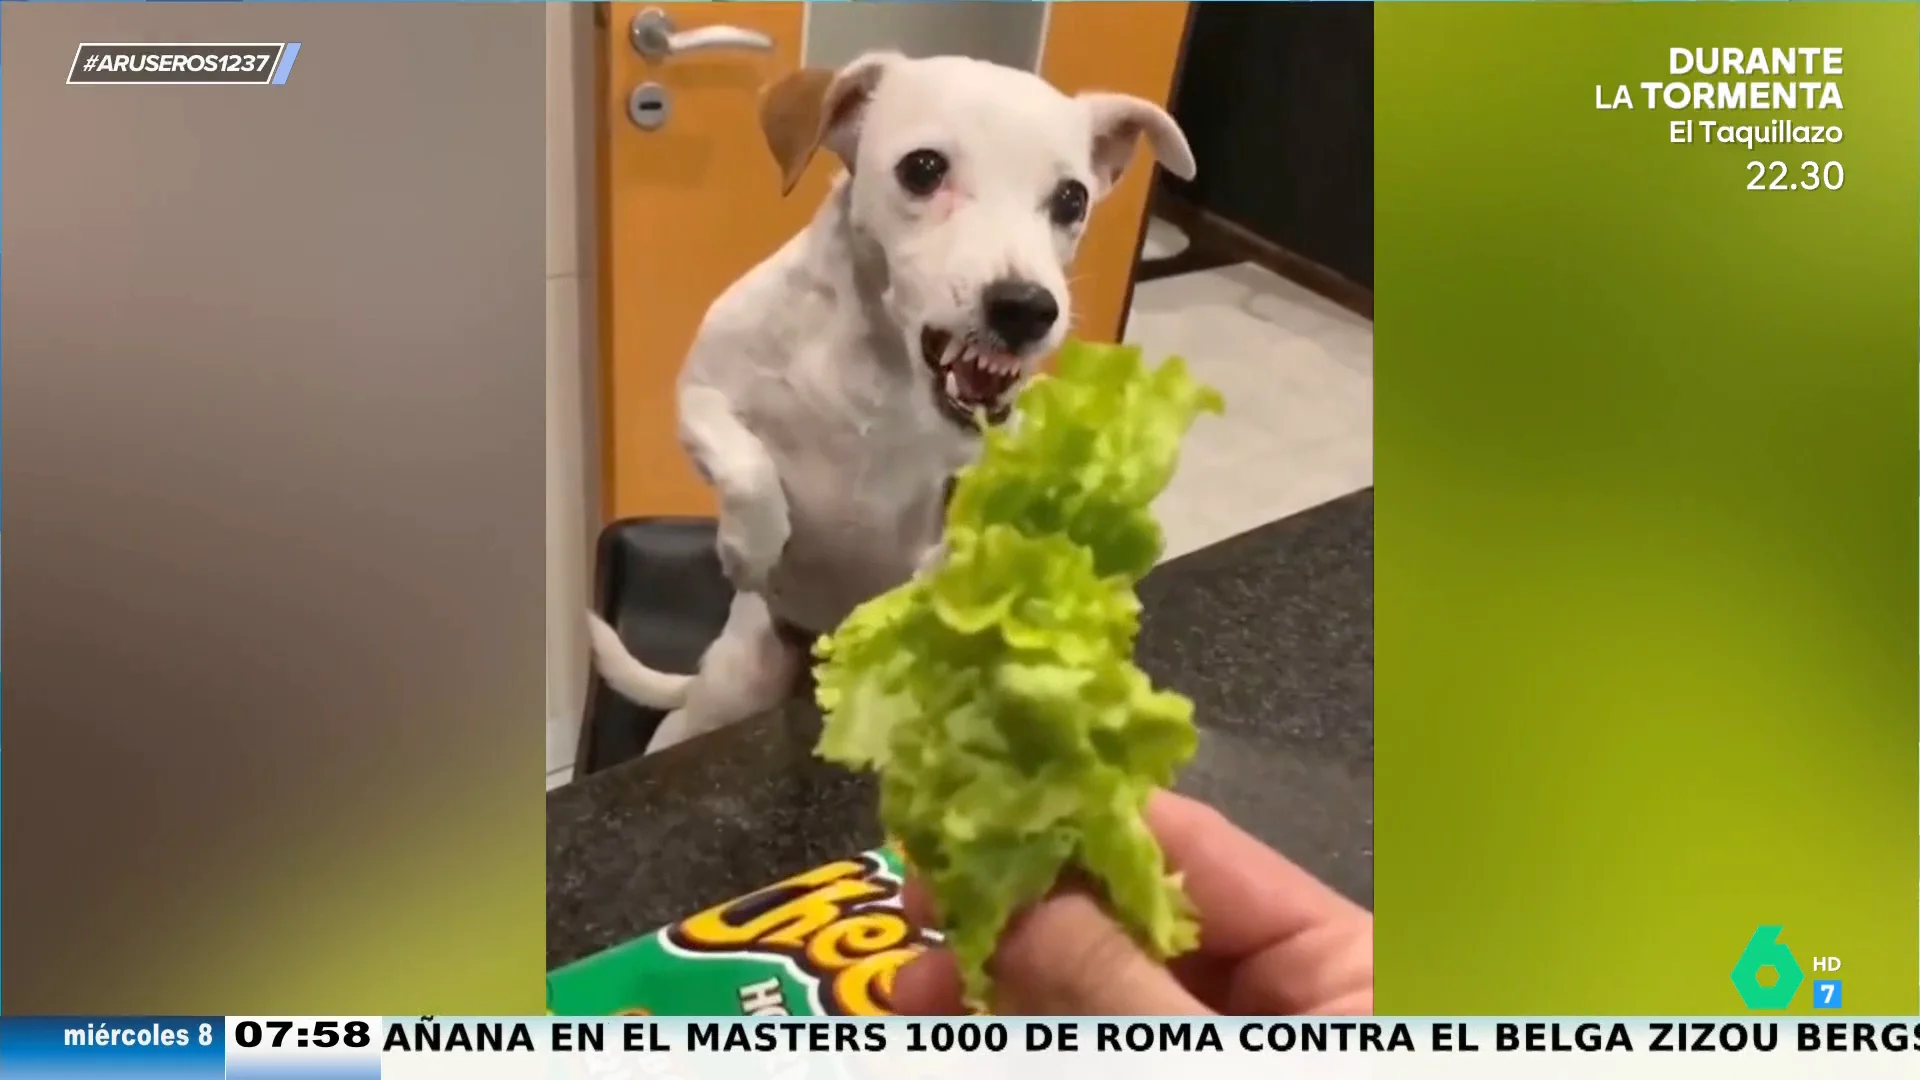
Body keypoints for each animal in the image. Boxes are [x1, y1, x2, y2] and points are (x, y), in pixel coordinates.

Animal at [587, 52, 1182, 749]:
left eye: (1072, 198)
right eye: (922, 169)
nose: (1027, 308)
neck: (882, 372)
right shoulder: (700, 395)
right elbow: (749, 471)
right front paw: (747, 549)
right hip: (729, 690)